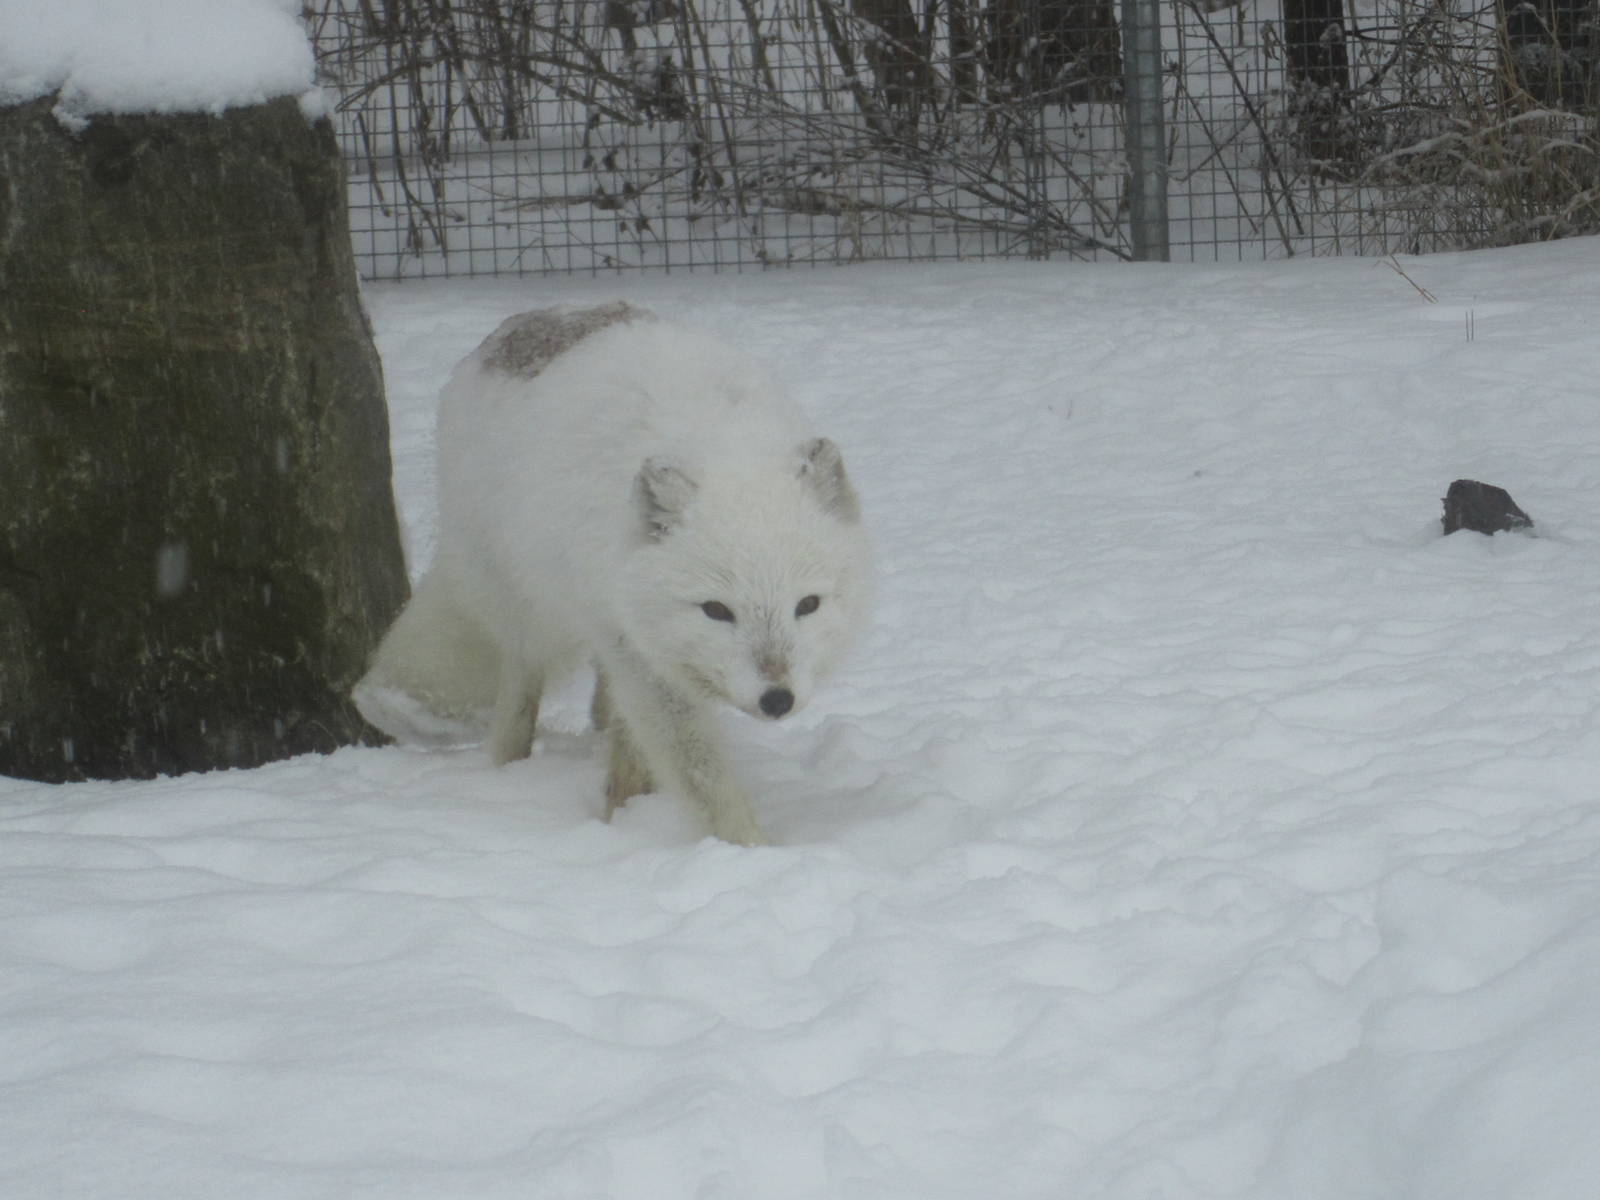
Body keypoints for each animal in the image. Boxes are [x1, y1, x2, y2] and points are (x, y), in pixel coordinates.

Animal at [354, 302, 871, 845]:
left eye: (807, 605)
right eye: (716, 611)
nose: (777, 700)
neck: (719, 445)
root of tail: (527, 319)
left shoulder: (634, 638)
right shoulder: (643, 660)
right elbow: (702, 776)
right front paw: (747, 849)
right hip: (522, 604)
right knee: (519, 686)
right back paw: (510, 768)